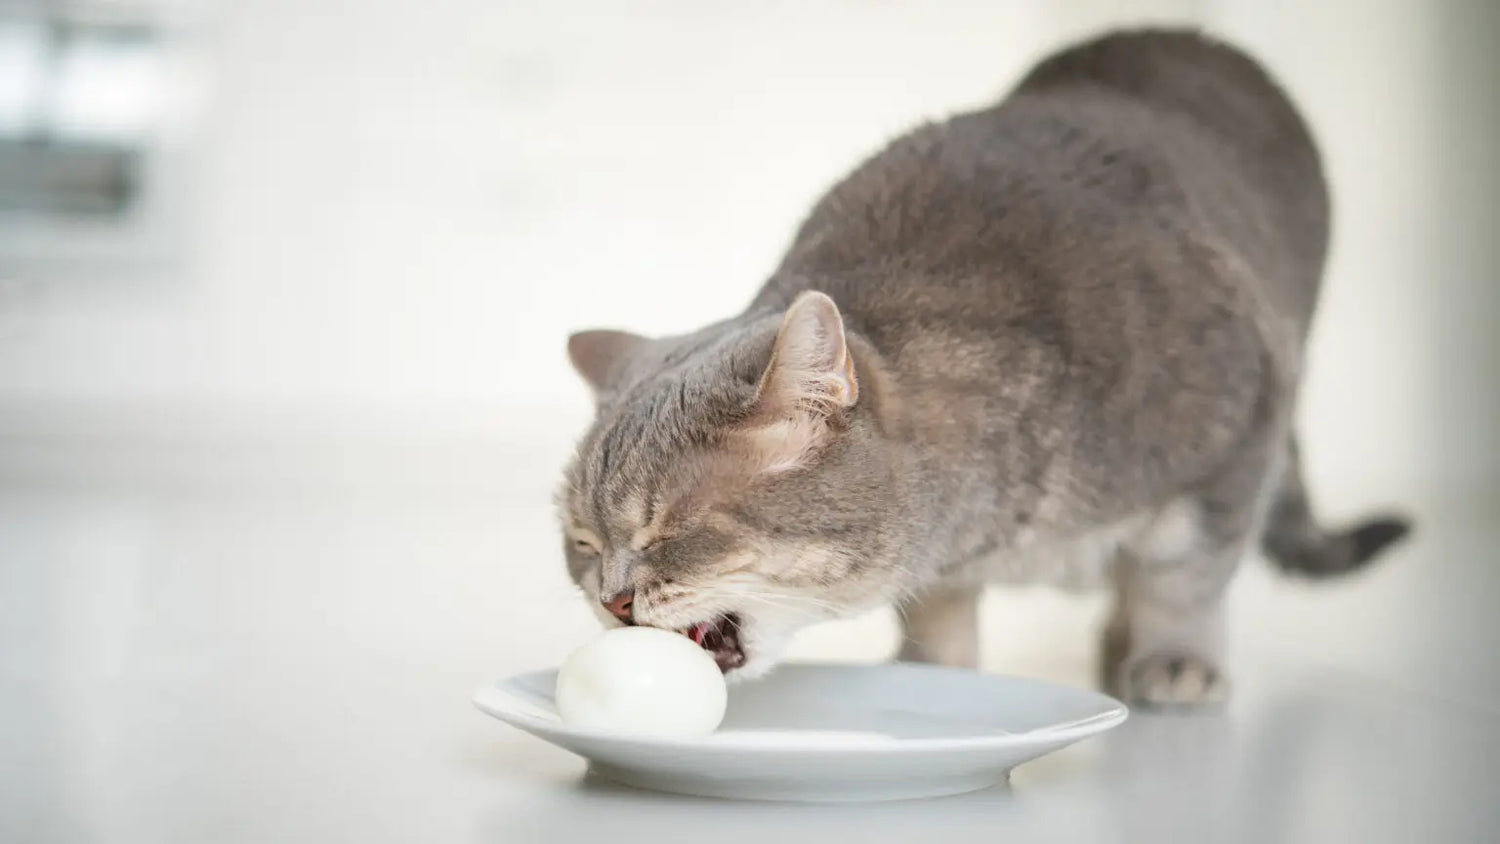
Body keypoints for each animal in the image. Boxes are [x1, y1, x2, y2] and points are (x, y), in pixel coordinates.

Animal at [552, 28, 1404, 707]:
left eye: (673, 529)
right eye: (583, 544)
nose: (613, 600)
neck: (1003, 529)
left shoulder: (1240, 436)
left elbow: (1184, 575)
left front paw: (1176, 659)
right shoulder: (948, 566)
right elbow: (939, 611)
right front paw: (934, 675)